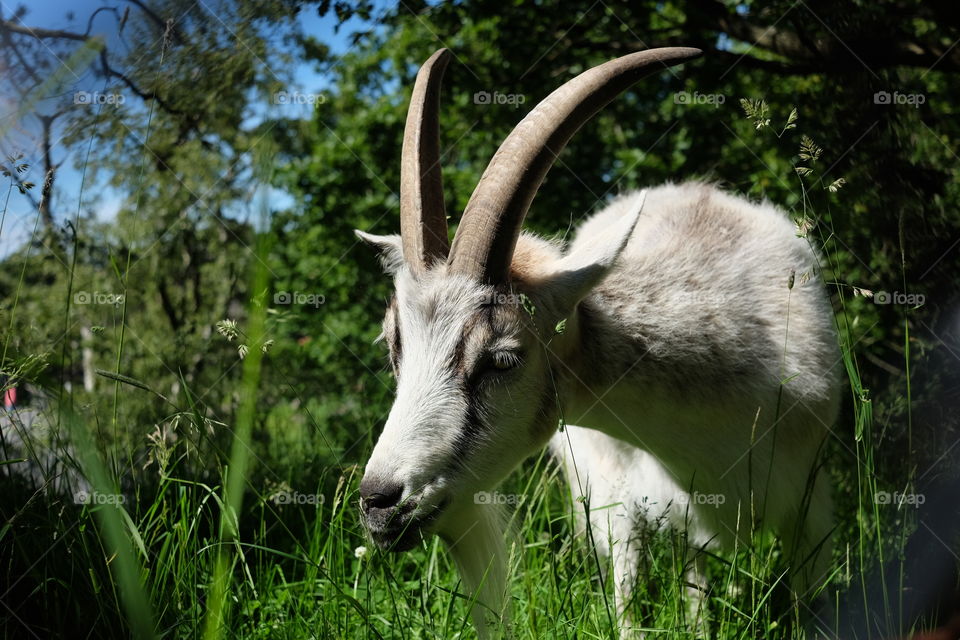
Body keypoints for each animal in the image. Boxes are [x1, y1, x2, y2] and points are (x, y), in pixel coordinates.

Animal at [355, 47, 841, 638]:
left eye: (503, 359)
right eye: (393, 347)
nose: (380, 505)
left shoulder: (812, 508)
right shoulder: (617, 515)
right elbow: (629, 609)